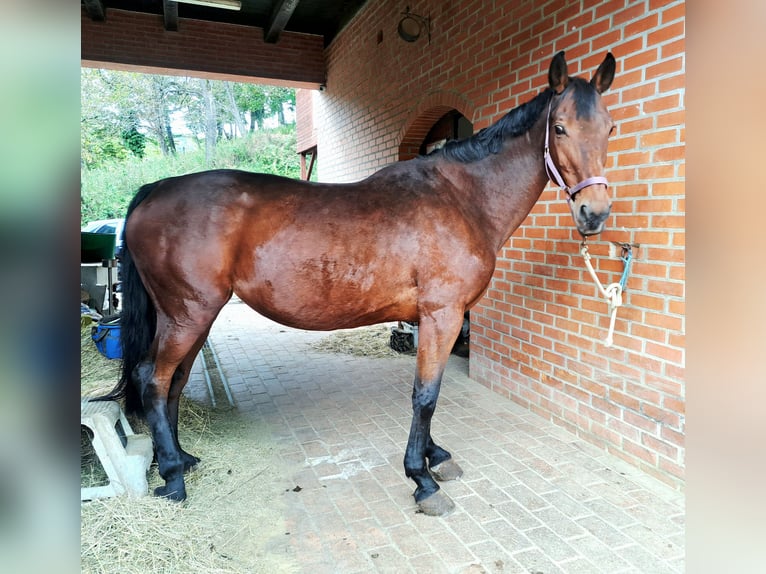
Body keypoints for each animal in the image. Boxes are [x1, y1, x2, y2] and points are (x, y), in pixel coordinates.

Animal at [99, 51, 616, 516]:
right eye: (560, 127)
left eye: (609, 128)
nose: (594, 213)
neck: (460, 198)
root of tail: (154, 191)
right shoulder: (442, 315)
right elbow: (426, 396)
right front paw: (422, 478)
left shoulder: (435, 320)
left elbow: (429, 392)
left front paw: (434, 456)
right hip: (189, 314)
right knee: (153, 379)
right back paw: (172, 477)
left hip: (191, 317)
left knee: (173, 383)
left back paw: (182, 459)